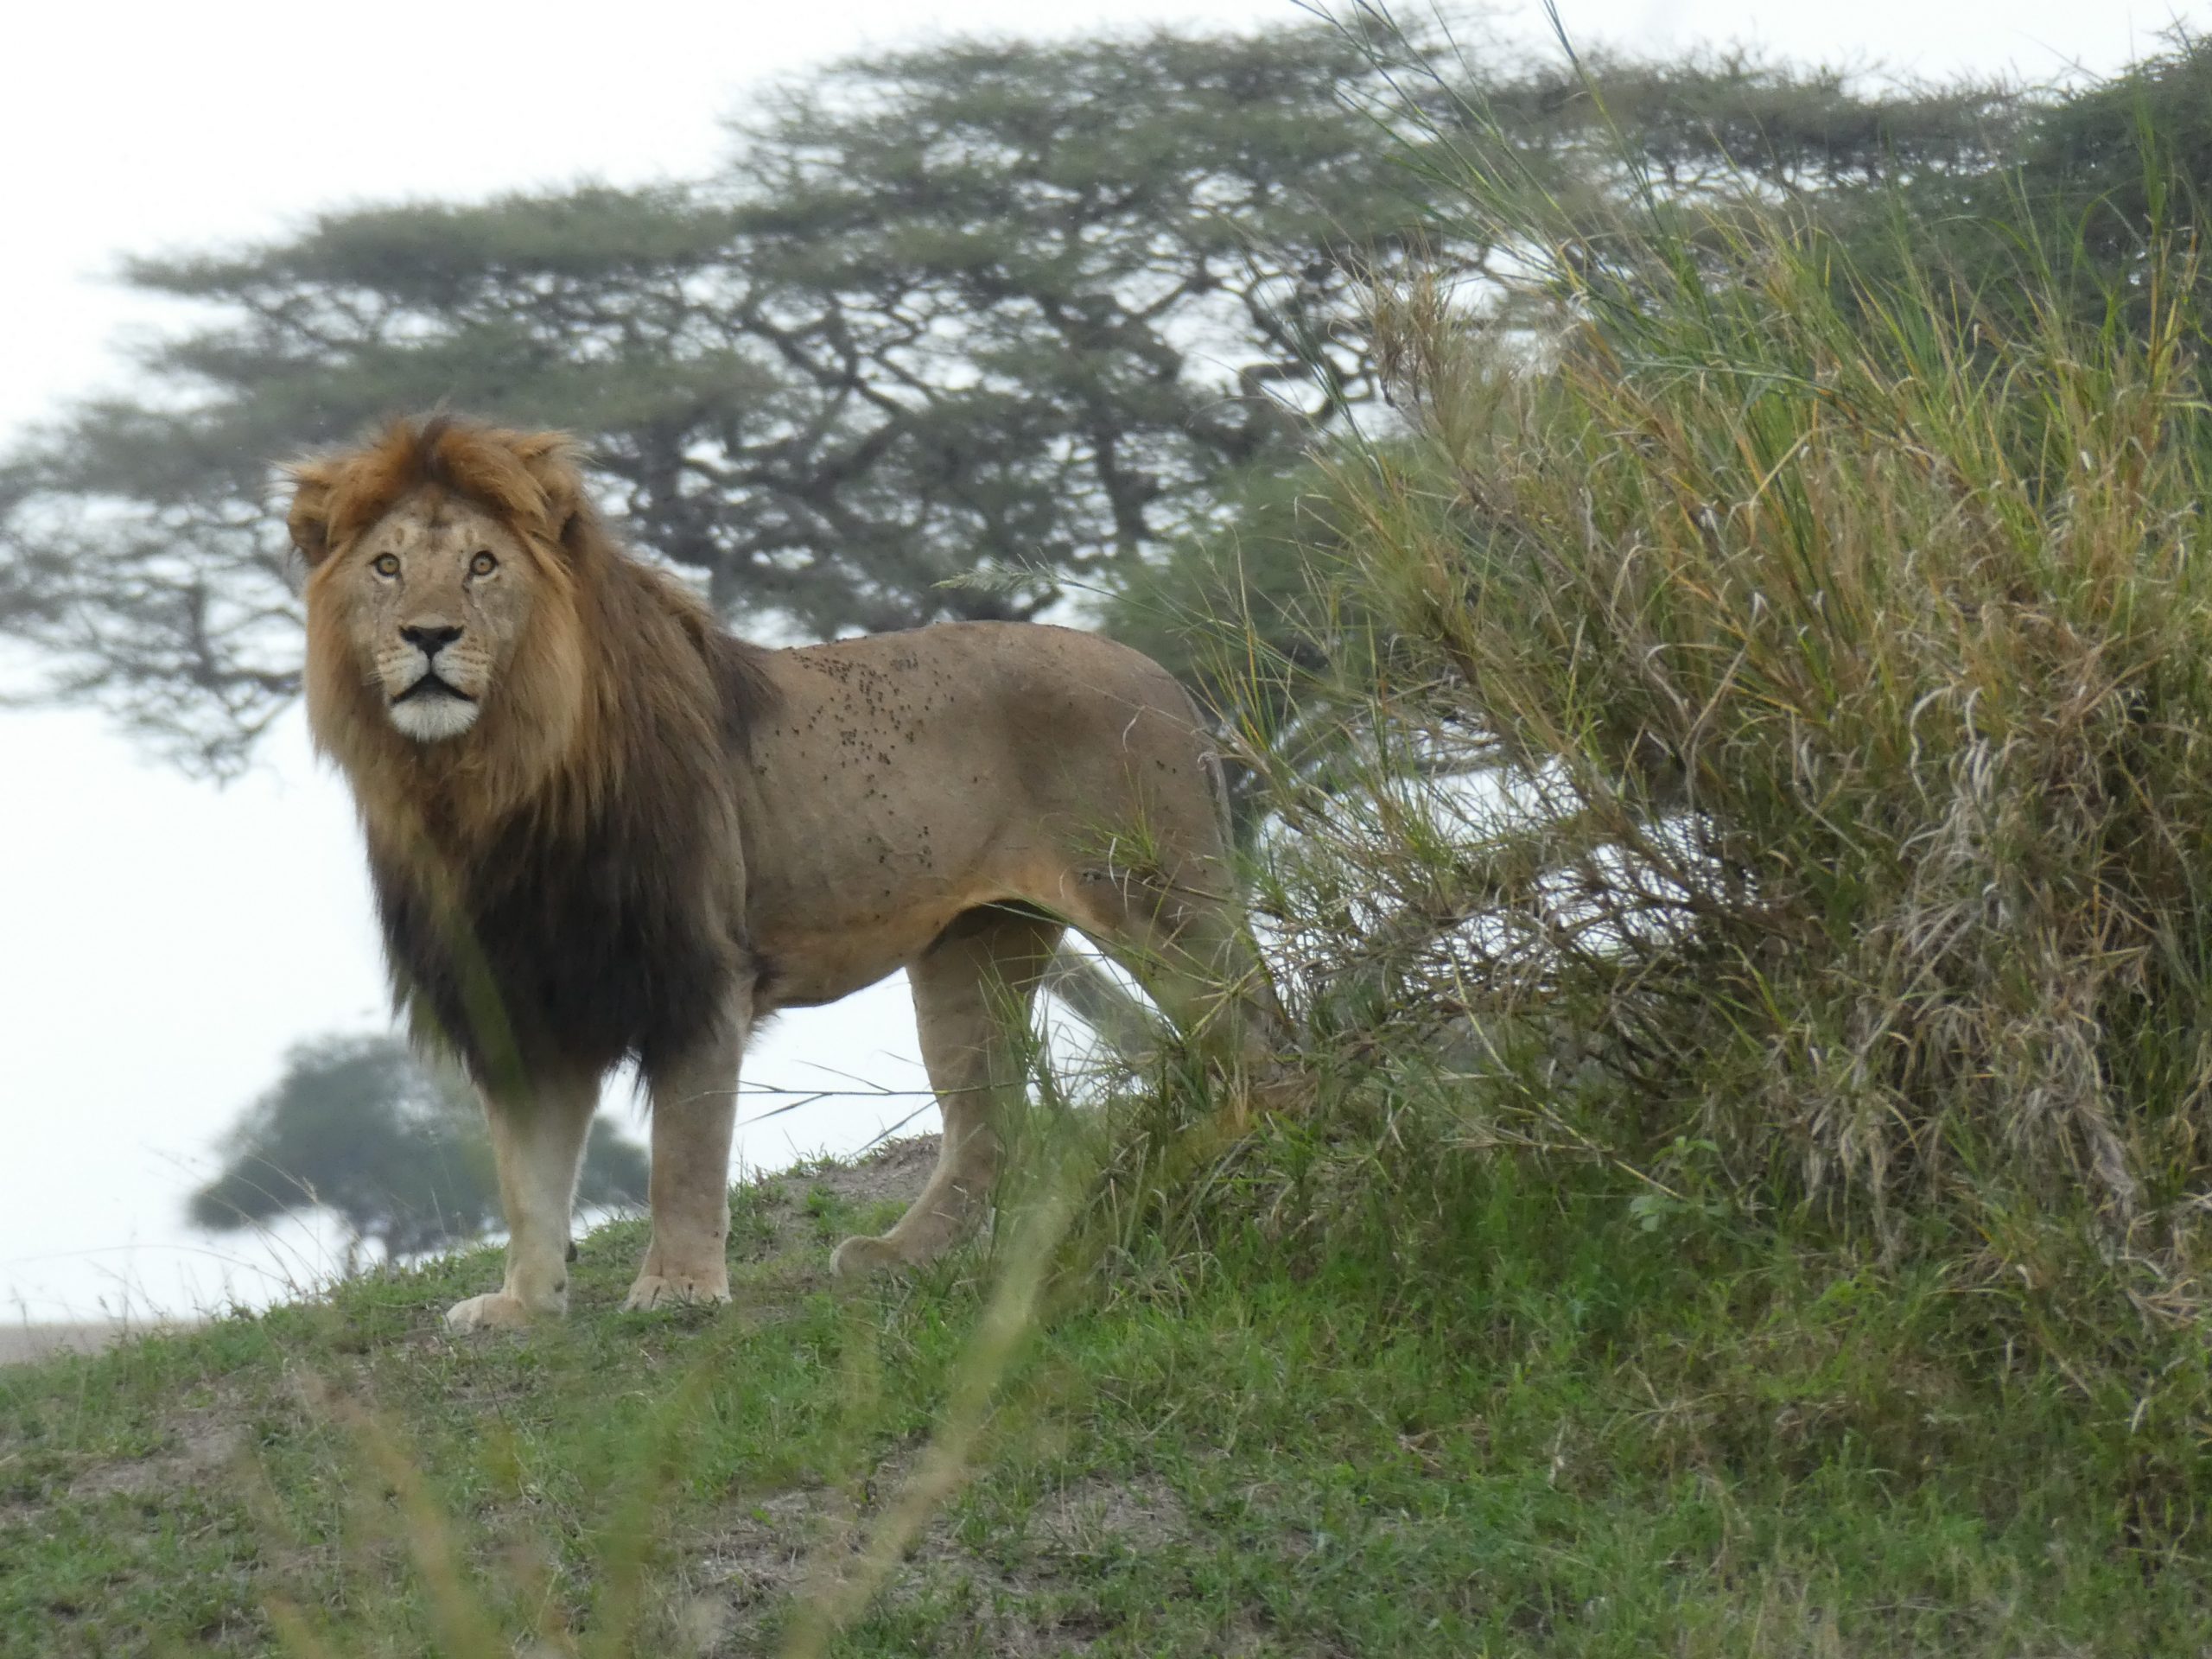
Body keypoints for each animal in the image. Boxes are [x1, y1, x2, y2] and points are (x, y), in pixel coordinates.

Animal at [286, 415, 1290, 1330]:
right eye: (387, 567)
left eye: (484, 565)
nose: (428, 634)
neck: (479, 786)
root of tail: (1164, 678)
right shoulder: (519, 996)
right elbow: (528, 1174)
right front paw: (523, 1305)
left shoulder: (696, 972)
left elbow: (684, 1154)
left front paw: (677, 1290)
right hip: (976, 946)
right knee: (991, 1124)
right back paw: (899, 1258)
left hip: (1159, 899)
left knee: (1253, 1031)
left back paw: (1268, 1153)